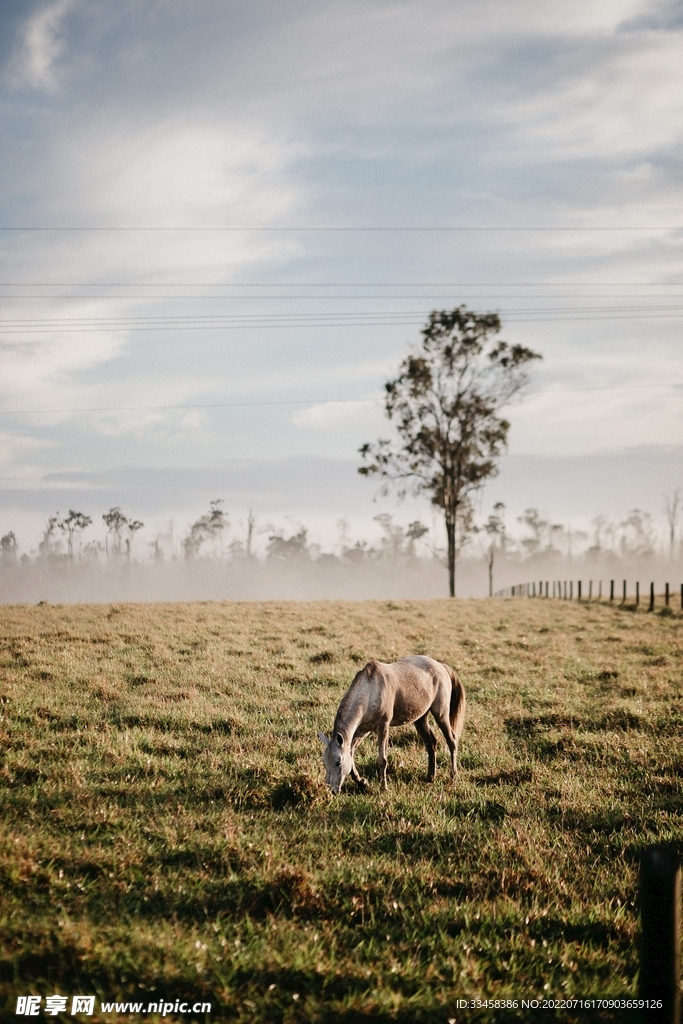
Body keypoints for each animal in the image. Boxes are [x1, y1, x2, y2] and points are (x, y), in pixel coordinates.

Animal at [319, 655, 464, 790]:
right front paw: (362, 782)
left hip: (441, 715)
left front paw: (384, 788)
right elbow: (351, 753)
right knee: (431, 743)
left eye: (338, 762)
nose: (332, 790)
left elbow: (382, 760)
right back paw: (430, 777)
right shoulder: (361, 731)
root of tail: (441, 666)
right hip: (420, 719)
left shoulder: (383, 727)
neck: (370, 690)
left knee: (451, 740)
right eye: (324, 762)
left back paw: (453, 776)